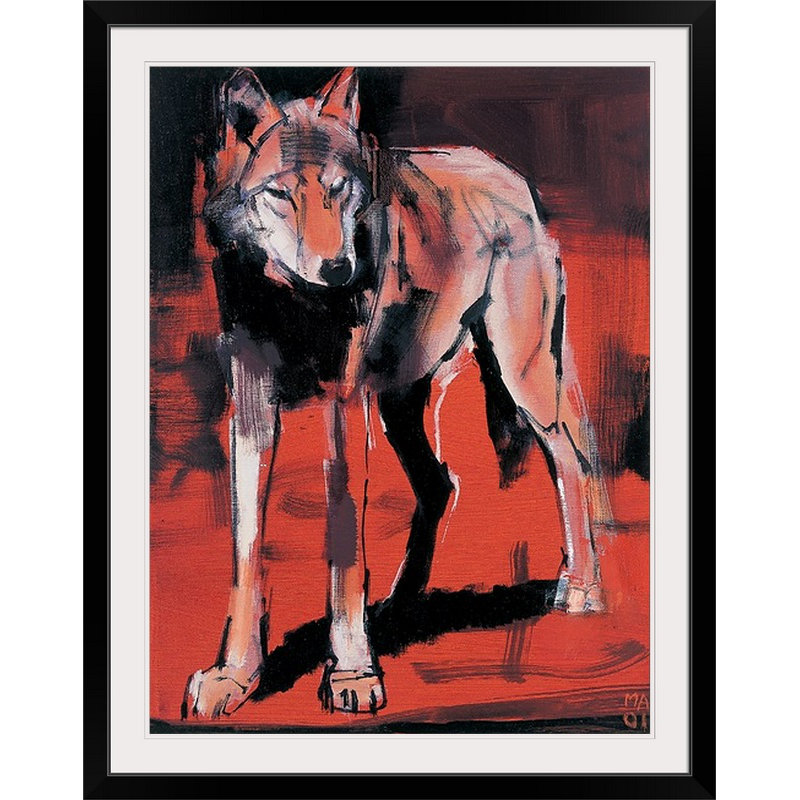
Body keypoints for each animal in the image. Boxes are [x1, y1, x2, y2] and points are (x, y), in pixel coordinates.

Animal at [183, 67, 612, 717]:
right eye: (281, 194)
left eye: (338, 190)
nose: (339, 269)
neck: (292, 303)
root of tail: (511, 177)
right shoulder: (252, 405)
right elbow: (247, 545)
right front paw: (235, 675)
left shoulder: (341, 403)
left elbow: (342, 543)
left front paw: (352, 673)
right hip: (397, 404)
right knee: (441, 483)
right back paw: (399, 606)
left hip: (523, 380)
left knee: (570, 458)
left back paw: (582, 587)